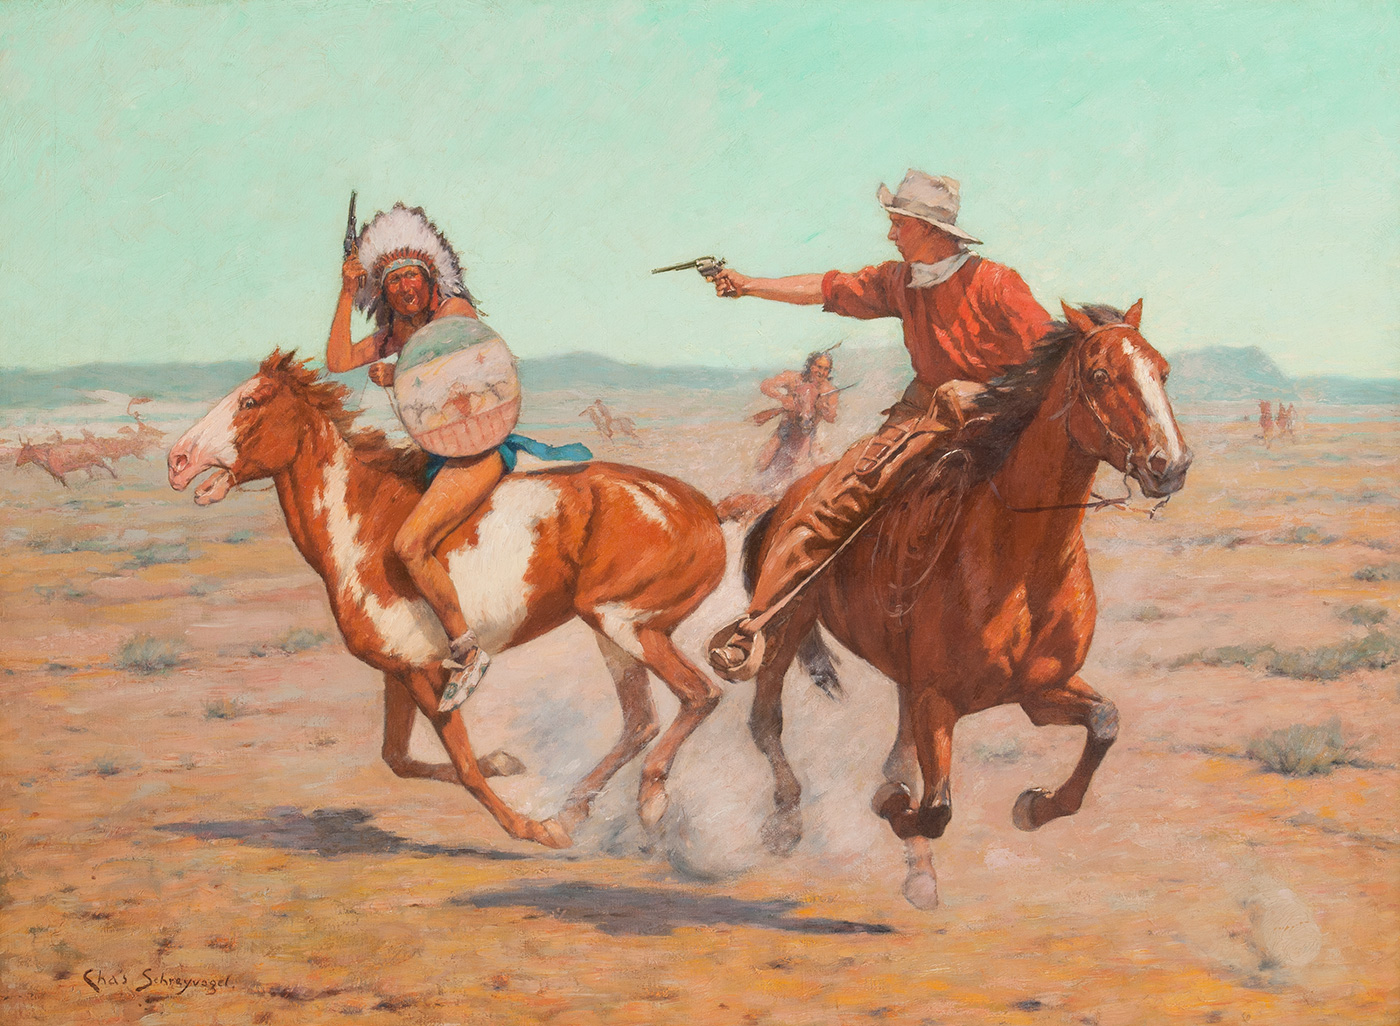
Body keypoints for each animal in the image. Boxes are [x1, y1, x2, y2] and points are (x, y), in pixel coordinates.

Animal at [169, 352, 728, 851]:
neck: (362, 528)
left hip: (625, 623)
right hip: (611, 631)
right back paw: (573, 810)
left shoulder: (430, 676)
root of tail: (706, 508)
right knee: (641, 721)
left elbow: (463, 768)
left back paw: (647, 801)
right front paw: (507, 764)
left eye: (250, 401)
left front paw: (531, 829)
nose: (176, 462)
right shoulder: (400, 670)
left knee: (700, 695)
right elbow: (399, 758)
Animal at [744, 299, 1192, 907]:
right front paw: (891, 802)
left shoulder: (1040, 691)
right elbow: (935, 808)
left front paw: (1035, 806)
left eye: (1162, 372)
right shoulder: (938, 701)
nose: (1171, 465)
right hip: (788, 625)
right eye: (1100, 375)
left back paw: (917, 872)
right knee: (766, 720)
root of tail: (784, 500)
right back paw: (787, 821)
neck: (1021, 560)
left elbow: (1105, 721)